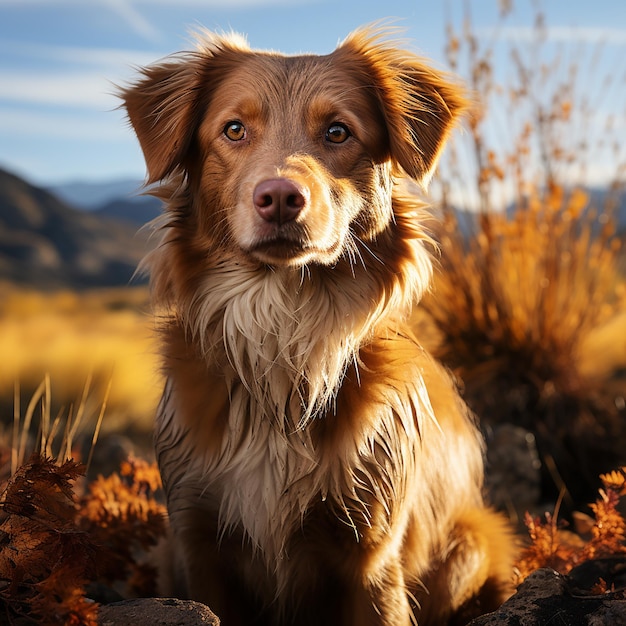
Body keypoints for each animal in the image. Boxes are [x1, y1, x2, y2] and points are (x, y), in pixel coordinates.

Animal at [120, 25, 512, 624]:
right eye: (233, 129)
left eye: (338, 131)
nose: (280, 197)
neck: (283, 328)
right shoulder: (198, 540)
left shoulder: (371, 553)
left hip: (469, 544)